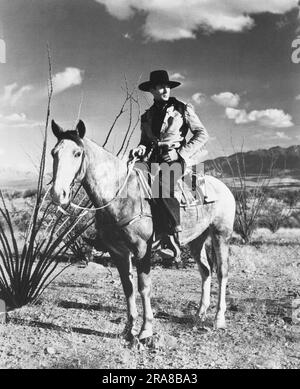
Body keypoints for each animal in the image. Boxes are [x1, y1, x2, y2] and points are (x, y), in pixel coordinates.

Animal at [50, 119, 236, 342]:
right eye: (53, 153)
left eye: (77, 153)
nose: (57, 194)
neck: (120, 194)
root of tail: (223, 188)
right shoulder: (118, 252)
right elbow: (127, 287)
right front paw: (128, 329)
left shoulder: (142, 249)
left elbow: (144, 287)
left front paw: (146, 329)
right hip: (197, 239)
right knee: (206, 270)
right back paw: (200, 313)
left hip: (221, 234)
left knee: (222, 273)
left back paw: (219, 319)